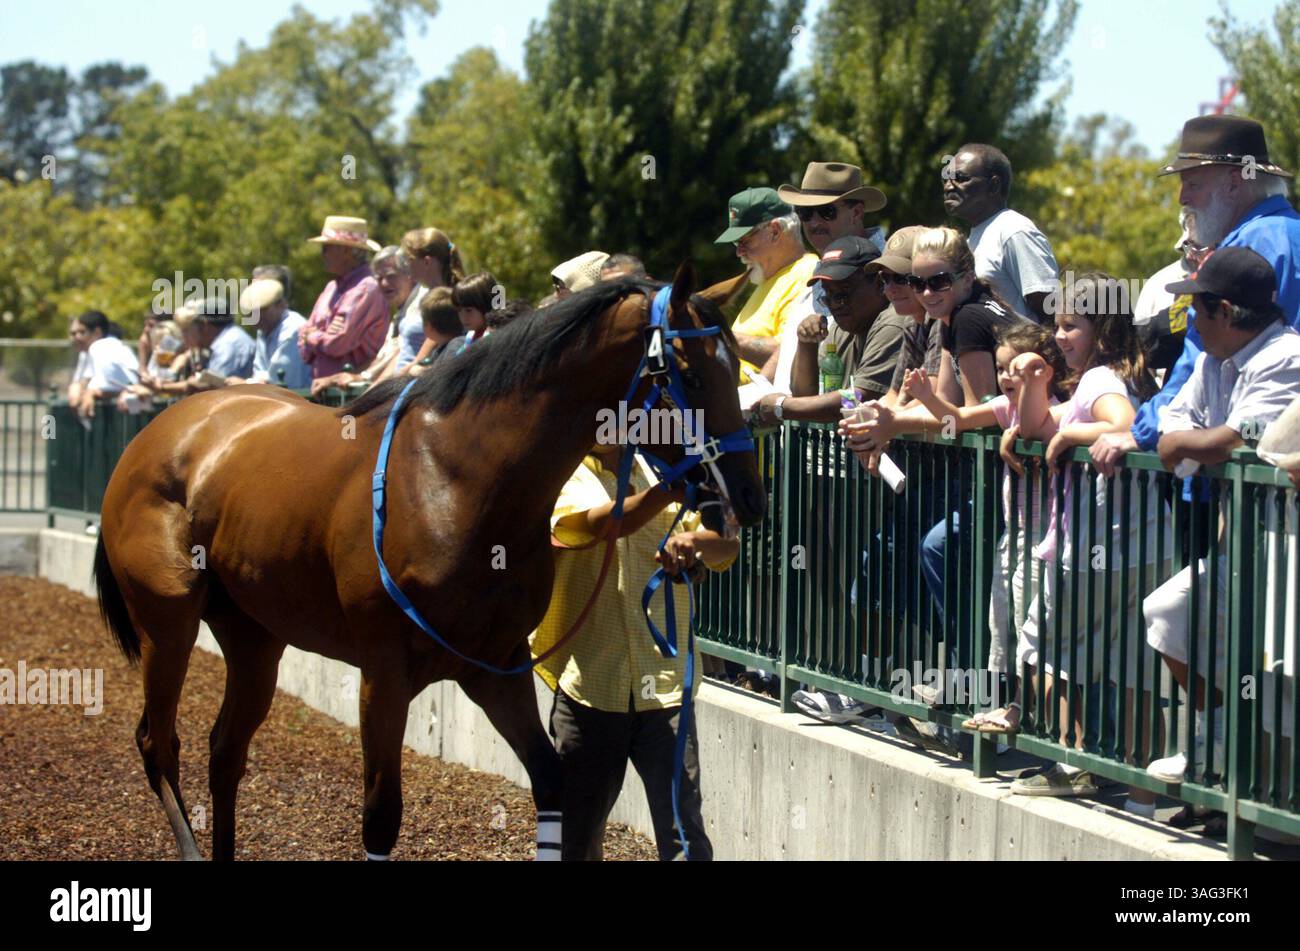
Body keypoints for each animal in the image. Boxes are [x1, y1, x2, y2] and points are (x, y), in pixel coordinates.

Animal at [93, 263, 766, 861]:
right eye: (691, 377)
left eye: (739, 370)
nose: (750, 498)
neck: (455, 479)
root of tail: (159, 433)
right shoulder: (383, 673)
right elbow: (381, 817)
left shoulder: (497, 669)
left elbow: (552, 784)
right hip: (168, 622)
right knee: (158, 742)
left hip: (254, 636)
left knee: (225, 750)